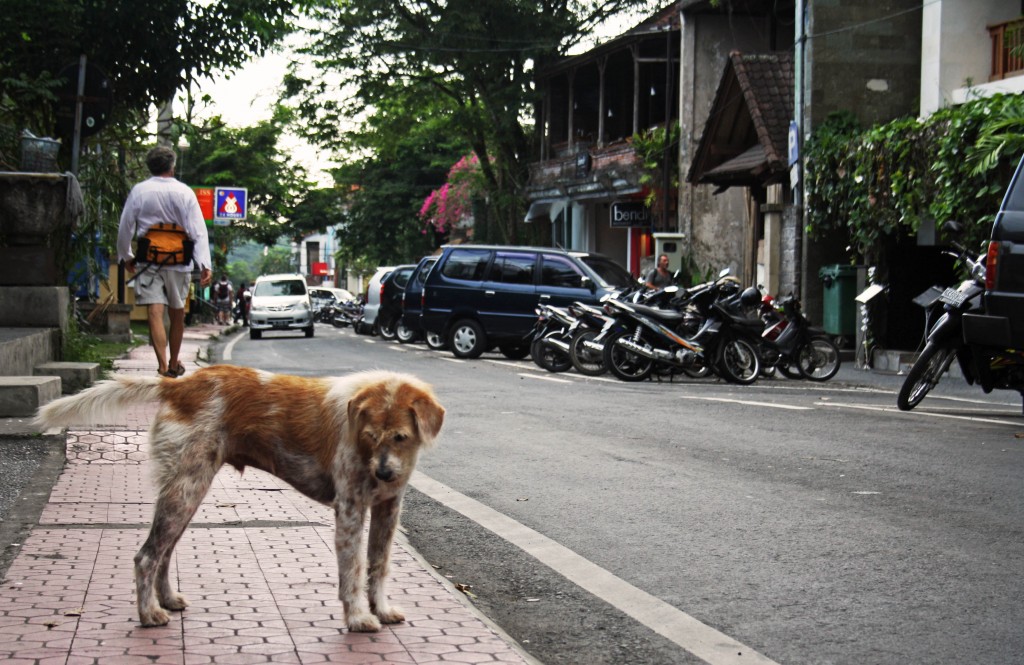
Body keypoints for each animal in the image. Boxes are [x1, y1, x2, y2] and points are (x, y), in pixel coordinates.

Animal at [35, 364, 444, 631]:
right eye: (371, 436)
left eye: (401, 437)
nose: (385, 474)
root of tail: (179, 385)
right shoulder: (350, 511)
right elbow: (354, 570)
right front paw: (359, 617)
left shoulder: (388, 509)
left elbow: (379, 566)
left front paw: (382, 609)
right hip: (185, 490)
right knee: (146, 556)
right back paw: (149, 614)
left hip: (187, 493)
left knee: (163, 554)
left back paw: (166, 600)